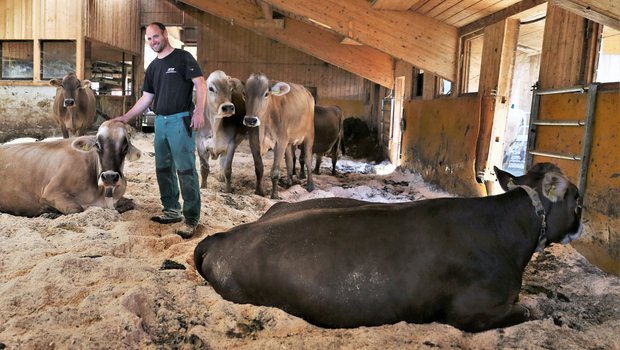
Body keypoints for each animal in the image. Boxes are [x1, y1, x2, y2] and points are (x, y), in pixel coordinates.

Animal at [0, 121, 140, 217]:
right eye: (97, 145)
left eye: (125, 147)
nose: (110, 176)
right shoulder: (51, 193)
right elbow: (77, 209)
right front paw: (49, 212)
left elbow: (130, 203)